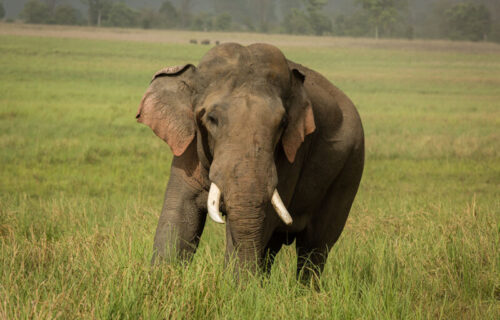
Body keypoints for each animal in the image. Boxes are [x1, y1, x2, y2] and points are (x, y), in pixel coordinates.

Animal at [136, 43, 364, 284]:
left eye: (282, 123)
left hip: (350, 168)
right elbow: (178, 217)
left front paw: (238, 288)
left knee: (315, 247)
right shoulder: (188, 147)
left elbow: (262, 219)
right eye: (212, 119)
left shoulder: (290, 155)